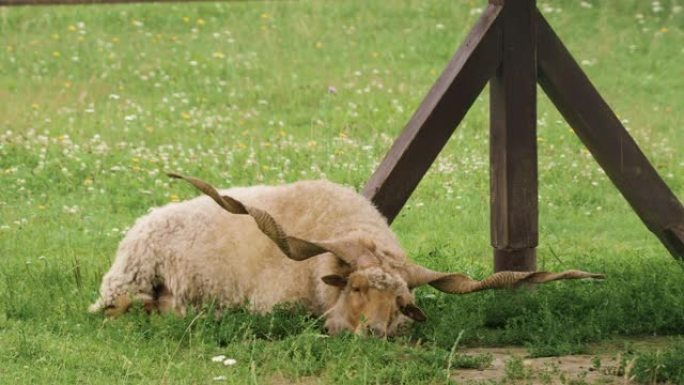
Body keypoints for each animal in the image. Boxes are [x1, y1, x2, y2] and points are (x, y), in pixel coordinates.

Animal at [92, 174, 604, 336]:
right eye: (355, 287)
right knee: (120, 308)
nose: (376, 333)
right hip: (127, 280)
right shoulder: (275, 305)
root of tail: (147, 218)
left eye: (401, 302)